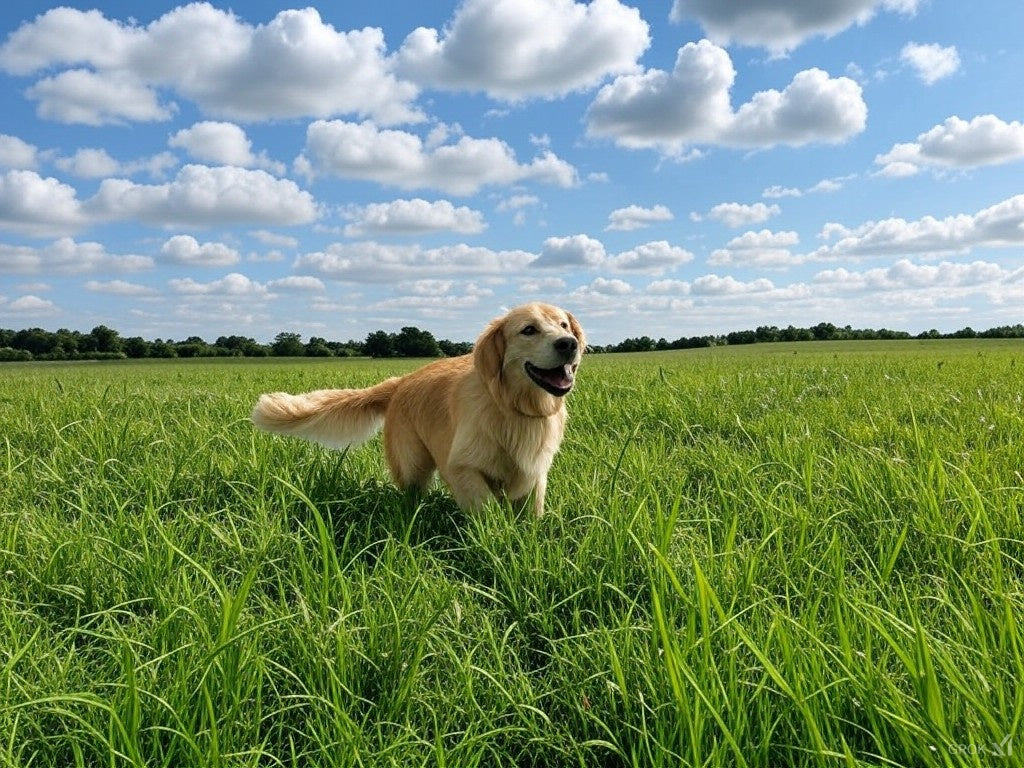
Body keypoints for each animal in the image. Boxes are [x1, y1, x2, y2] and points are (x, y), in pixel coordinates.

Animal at [251, 303, 585, 518]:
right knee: (410, 491)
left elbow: (532, 515)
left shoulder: (535, 473)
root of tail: (400, 381)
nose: (569, 343)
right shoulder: (462, 467)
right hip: (412, 463)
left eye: (563, 325)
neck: (512, 407)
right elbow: (486, 508)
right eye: (529, 330)